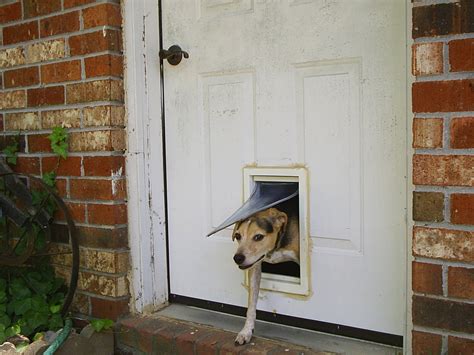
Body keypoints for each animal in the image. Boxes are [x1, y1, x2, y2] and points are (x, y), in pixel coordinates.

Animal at [231, 207, 300, 346]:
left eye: (258, 236)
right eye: (238, 236)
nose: (237, 258)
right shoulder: (254, 266)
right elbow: (251, 305)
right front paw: (246, 331)